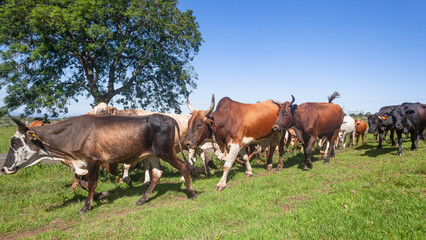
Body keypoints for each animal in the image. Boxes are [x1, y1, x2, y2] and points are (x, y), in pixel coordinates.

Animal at [0, 114, 197, 214]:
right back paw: (143, 199)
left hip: (166, 152)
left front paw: (86, 206)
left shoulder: (93, 160)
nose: (4, 168)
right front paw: (101, 195)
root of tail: (167, 117)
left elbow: (92, 183)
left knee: (183, 166)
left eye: (15, 142)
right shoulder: (84, 163)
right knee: (157, 174)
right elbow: (83, 183)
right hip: (153, 155)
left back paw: (191, 192)